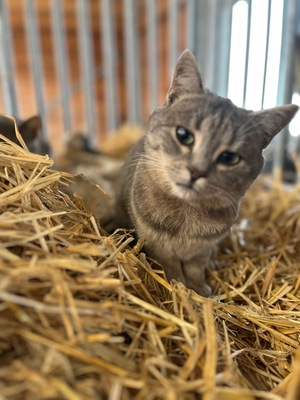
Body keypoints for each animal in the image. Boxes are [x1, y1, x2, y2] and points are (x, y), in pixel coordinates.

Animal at [114, 49, 298, 296]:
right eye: (183, 135)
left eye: (229, 158)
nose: (196, 171)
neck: (187, 216)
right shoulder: (158, 246)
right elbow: (172, 268)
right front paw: (179, 287)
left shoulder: (201, 251)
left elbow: (195, 269)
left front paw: (199, 290)